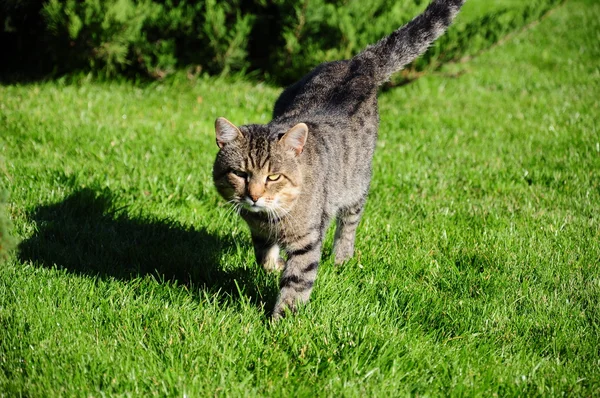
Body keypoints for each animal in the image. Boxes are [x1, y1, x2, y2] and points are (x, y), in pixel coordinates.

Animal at [213, 0, 466, 318]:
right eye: (241, 174)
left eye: (274, 176)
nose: (254, 196)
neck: (273, 217)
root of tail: (357, 61)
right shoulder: (257, 230)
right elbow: (264, 256)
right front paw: (274, 265)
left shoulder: (309, 238)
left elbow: (297, 280)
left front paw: (281, 319)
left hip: (356, 183)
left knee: (349, 223)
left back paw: (342, 258)